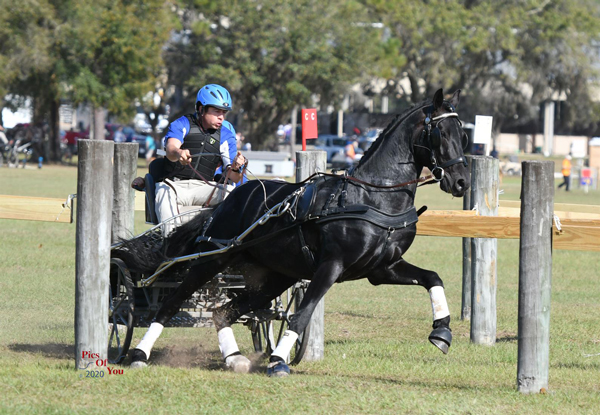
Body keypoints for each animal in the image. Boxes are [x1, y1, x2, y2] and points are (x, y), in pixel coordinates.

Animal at [116, 89, 468, 376]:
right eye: (440, 131)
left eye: (463, 134)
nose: (462, 182)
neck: (370, 196)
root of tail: (228, 201)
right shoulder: (331, 266)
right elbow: (301, 315)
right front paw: (278, 362)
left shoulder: (382, 269)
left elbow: (433, 278)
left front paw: (441, 331)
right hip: (211, 260)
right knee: (171, 303)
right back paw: (138, 354)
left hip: (274, 276)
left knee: (223, 312)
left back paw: (234, 358)